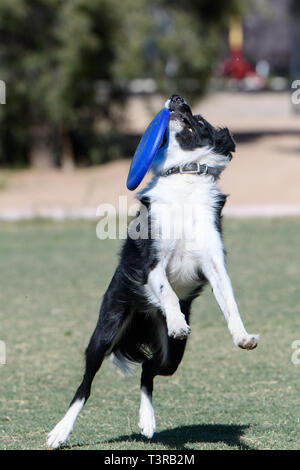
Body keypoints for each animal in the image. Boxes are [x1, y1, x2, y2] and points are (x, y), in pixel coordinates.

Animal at [47, 94, 258, 448]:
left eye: (199, 119)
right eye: (189, 110)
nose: (177, 98)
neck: (184, 175)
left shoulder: (215, 265)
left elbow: (230, 304)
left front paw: (242, 337)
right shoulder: (152, 264)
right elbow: (168, 293)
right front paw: (177, 321)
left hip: (172, 357)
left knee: (148, 370)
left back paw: (147, 421)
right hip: (105, 332)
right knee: (85, 386)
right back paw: (60, 432)